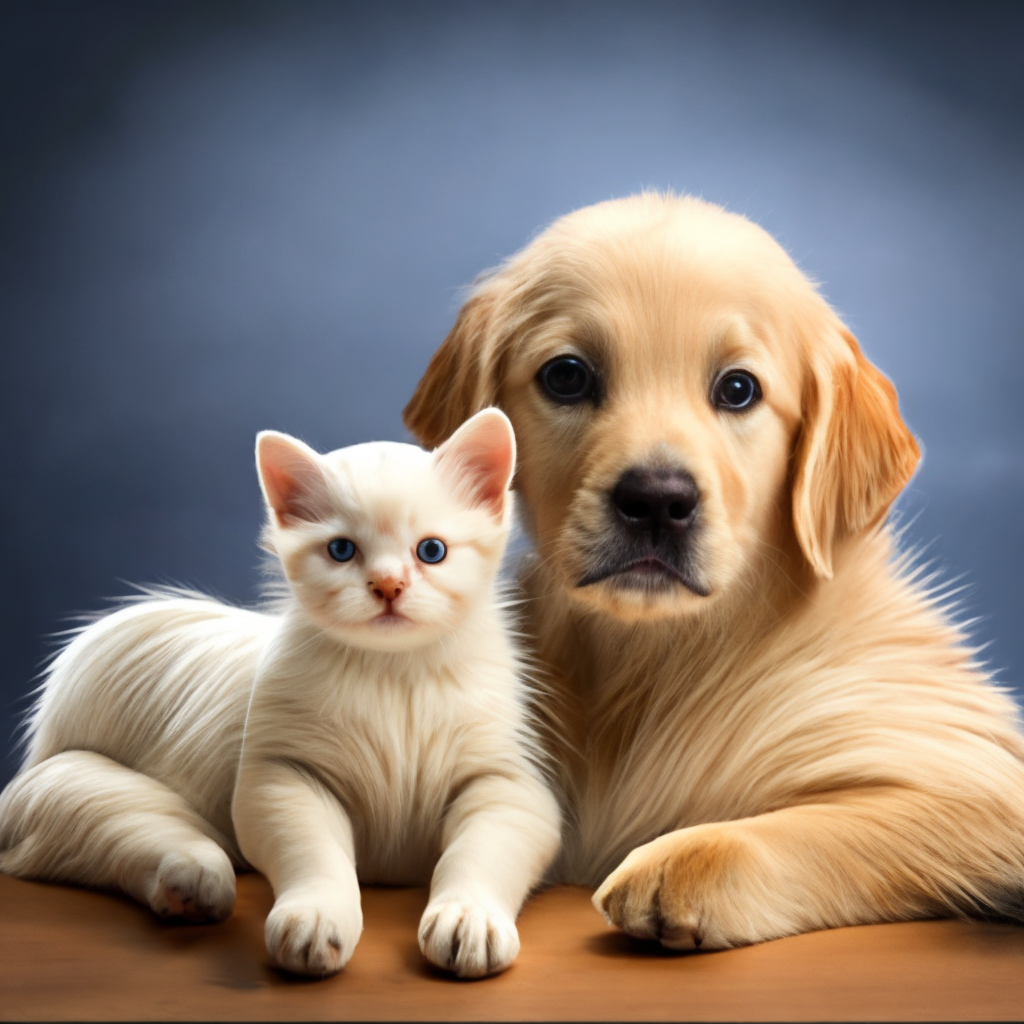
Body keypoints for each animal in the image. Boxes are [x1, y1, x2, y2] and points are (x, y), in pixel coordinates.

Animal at [0, 411, 561, 978]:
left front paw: (470, 918)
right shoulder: (284, 778)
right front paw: (315, 920)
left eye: (432, 551)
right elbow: (316, 856)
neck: (394, 676)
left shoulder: (510, 786)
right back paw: (193, 884)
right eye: (341, 550)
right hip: (66, 780)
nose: (387, 586)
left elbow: (477, 854)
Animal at [403, 193, 1024, 950]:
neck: (650, 664)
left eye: (737, 389)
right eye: (567, 376)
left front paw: (680, 862)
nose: (657, 501)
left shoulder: (978, 775)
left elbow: (825, 824)